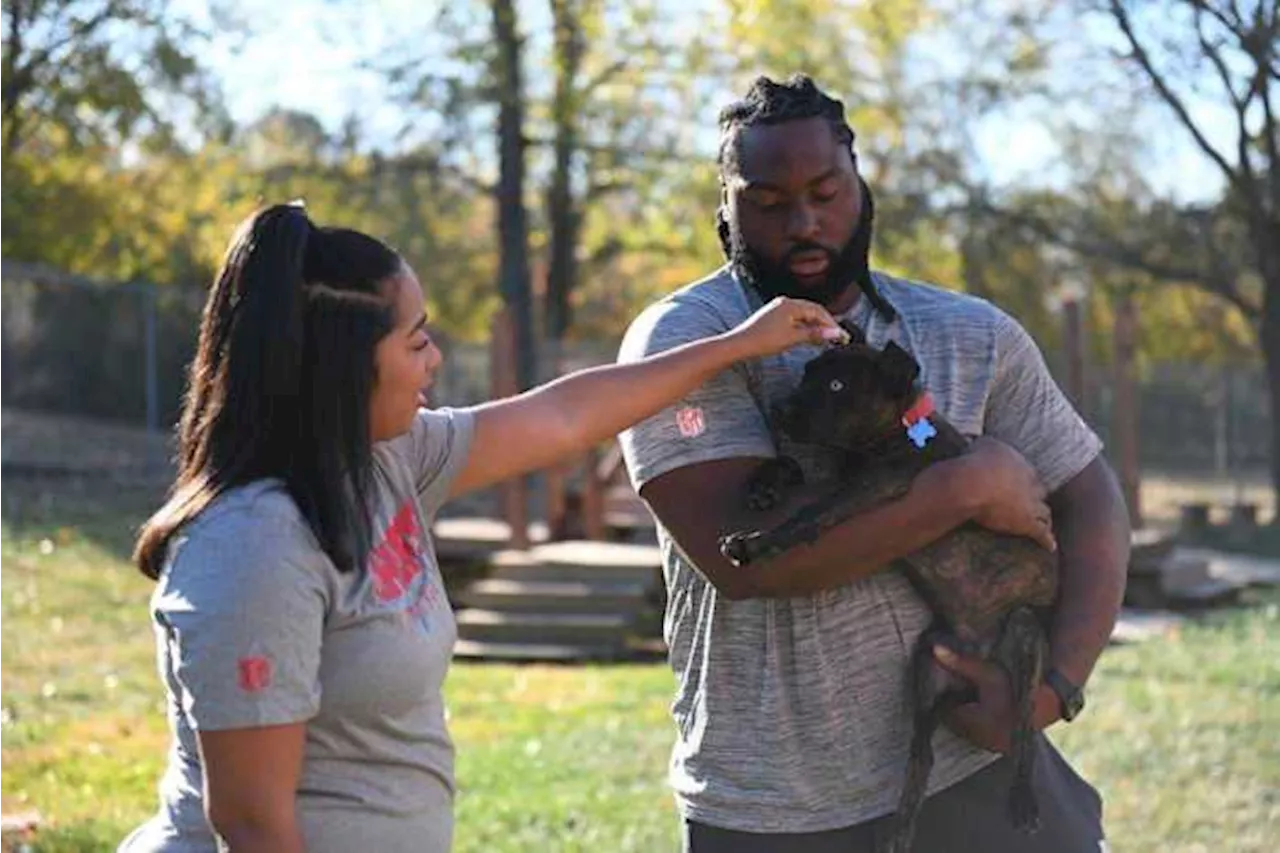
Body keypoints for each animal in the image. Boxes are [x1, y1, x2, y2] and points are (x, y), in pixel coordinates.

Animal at [721, 324, 1059, 850]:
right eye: (807, 372)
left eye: (837, 386)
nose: (779, 409)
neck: (895, 431)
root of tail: (978, 653)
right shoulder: (841, 477)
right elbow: (794, 468)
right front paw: (763, 485)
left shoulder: (868, 490)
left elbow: (810, 513)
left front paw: (758, 543)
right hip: (926, 666)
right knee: (922, 754)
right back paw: (900, 833)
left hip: (1024, 634)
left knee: (1022, 727)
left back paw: (1023, 801)